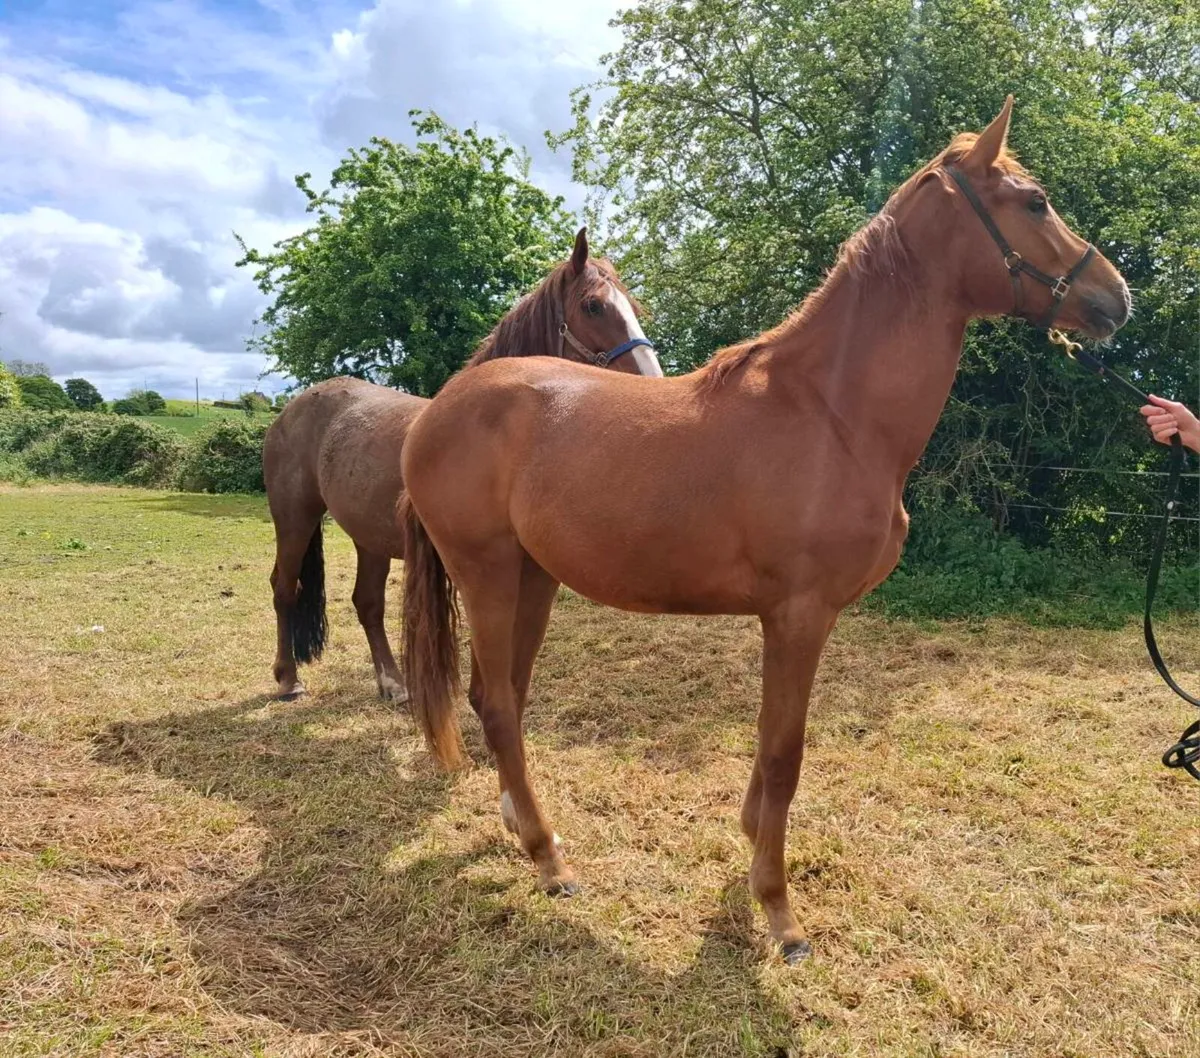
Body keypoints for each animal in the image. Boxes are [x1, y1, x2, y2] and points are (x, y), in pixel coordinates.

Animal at [262, 228, 661, 701]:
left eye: (633, 307)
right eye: (593, 306)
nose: (653, 384)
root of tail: (292, 409)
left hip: (368, 536)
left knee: (368, 603)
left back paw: (393, 682)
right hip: (295, 519)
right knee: (285, 588)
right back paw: (289, 679)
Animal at [398, 98, 1131, 963]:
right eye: (1036, 202)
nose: (1117, 298)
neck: (831, 413)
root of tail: (435, 409)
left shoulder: (791, 619)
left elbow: (766, 743)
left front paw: (752, 848)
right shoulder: (800, 613)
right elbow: (786, 754)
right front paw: (779, 912)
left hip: (530, 578)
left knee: (495, 694)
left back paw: (522, 828)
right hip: (484, 573)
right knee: (501, 707)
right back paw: (549, 860)